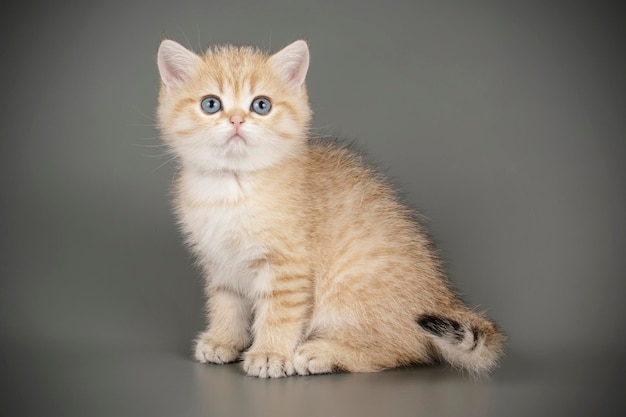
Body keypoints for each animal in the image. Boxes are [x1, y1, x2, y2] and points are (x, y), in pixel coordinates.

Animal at [157, 39, 508, 376]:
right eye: (211, 104)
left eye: (261, 105)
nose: (236, 120)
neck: (232, 186)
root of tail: (444, 297)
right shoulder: (220, 261)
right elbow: (226, 303)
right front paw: (224, 340)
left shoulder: (288, 266)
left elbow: (278, 314)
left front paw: (270, 353)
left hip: (353, 287)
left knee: (404, 349)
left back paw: (321, 353)